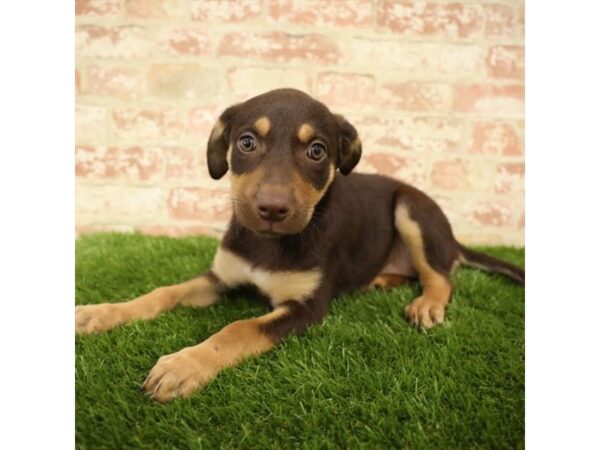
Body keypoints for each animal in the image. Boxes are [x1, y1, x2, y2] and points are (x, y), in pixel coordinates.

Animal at [76, 89, 524, 404]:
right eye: (246, 142)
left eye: (317, 151)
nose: (272, 209)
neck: (270, 243)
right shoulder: (220, 276)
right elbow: (163, 291)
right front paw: (102, 313)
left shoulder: (305, 308)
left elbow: (239, 329)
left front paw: (184, 365)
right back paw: (380, 280)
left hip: (413, 210)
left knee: (440, 275)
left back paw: (427, 304)